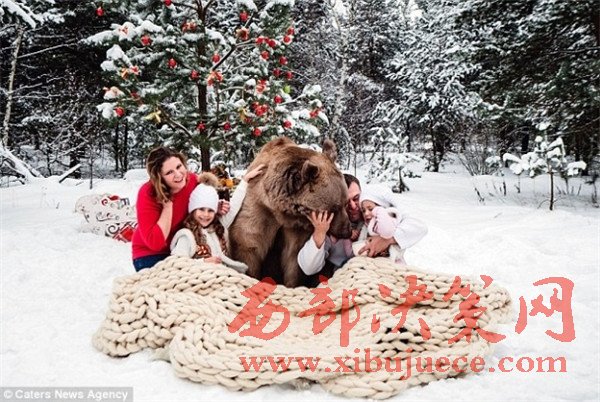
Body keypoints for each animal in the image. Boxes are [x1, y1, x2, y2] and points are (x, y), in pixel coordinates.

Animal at [228, 137, 352, 288]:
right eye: (334, 208)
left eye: (346, 203)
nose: (348, 231)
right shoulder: (258, 209)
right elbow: (247, 245)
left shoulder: (296, 227)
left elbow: (294, 258)